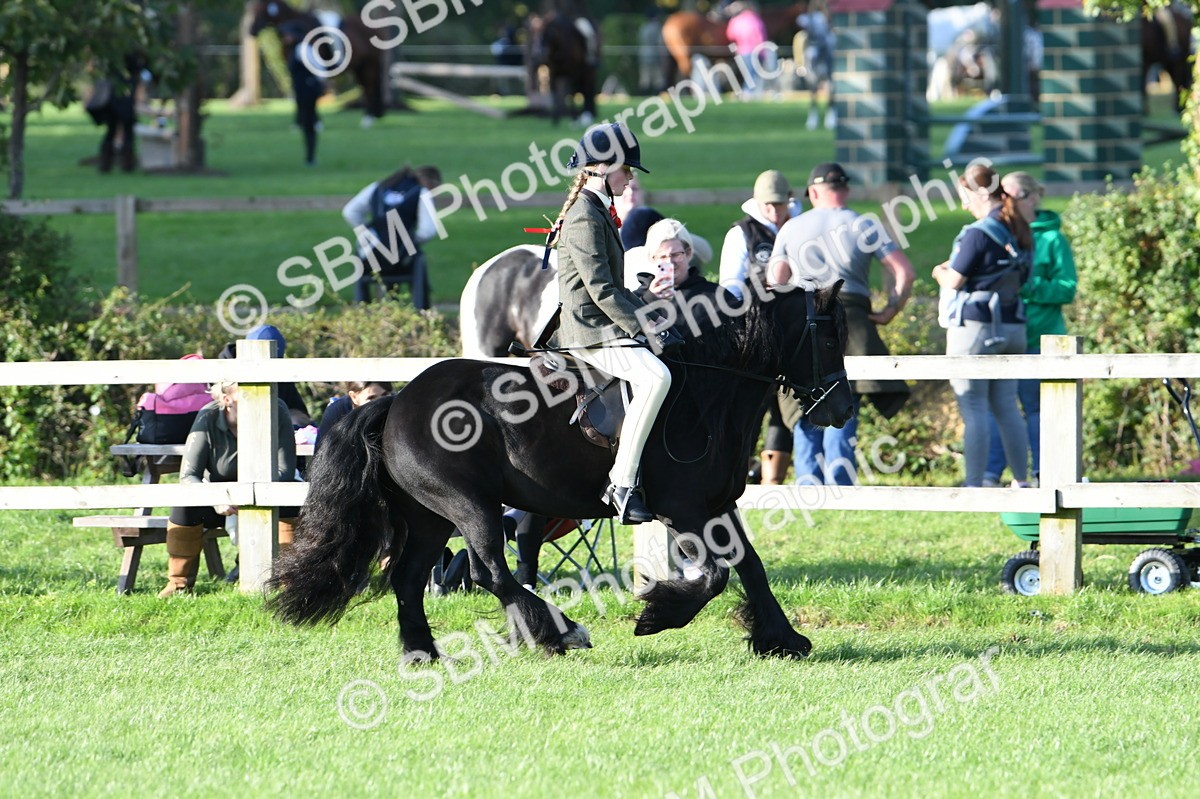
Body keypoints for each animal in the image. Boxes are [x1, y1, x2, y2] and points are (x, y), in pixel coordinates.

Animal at [249, 0, 388, 124]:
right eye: (252, 9)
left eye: (260, 9)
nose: (251, 30)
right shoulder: (292, 68)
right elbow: (298, 92)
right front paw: (299, 122)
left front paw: (314, 122)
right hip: (359, 68)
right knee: (366, 88)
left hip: (369, 65)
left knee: (369, 89)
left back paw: (368, 119)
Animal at [268, 283, 853, 661]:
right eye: (830, 339)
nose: (841, 409)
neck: (706, 391)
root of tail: (398, 401)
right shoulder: (682, 509)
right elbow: (715, 575)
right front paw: (658, 614)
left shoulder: (716, 506)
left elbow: (750, 565)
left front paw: (782, 638)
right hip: (467, 505)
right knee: (489, 572)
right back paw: (558, 634)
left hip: (431, 517)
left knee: (410, 579)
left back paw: (422, 653)